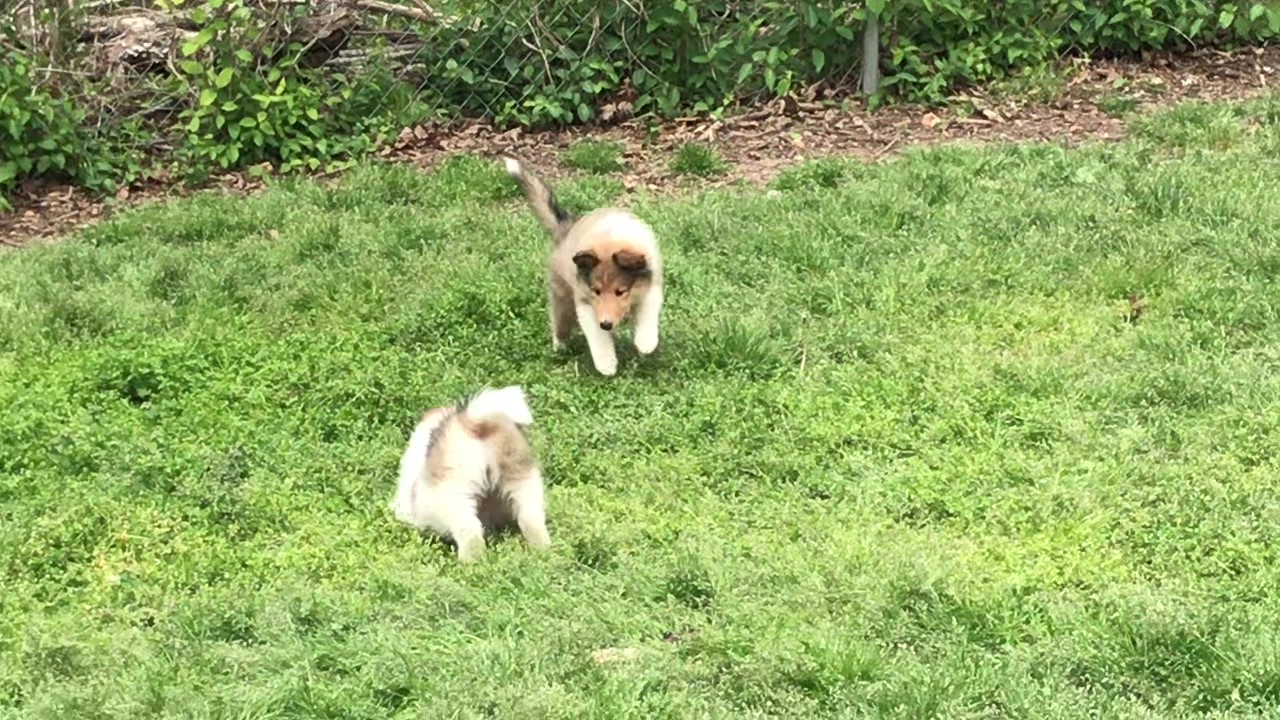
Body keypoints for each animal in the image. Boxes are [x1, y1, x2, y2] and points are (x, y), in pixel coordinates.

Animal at [389, 384, 550, 563]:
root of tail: (473, 424)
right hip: (521, 478)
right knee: (531, 519)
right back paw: (542, 551)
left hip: (455, 495)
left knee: (469, 531)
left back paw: (470, 563)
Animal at [499, 155, 665, 379]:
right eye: (596, 291)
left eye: (620, 291)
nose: (606, 324)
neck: (610, 240)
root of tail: (565, 230)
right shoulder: (585, 301)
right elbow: (598, 338)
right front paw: (607, 365)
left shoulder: (651, 285)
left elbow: (647, 313)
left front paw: (645, 343)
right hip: (562, 297)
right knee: (559, 324)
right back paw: (560, 348)